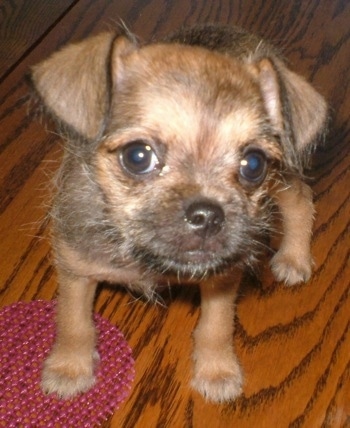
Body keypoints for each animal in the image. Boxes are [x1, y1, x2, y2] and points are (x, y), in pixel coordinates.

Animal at [29, 23, 326, 402]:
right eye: (138, 156)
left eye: (253, 164)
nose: (208, 215)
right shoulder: (75, 266)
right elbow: (73, 321)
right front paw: (69, 367)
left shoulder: (222, 277)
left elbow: (216, 325)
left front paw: (217, 370)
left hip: (283, 177)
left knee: (301, 198)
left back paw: (294, 257)